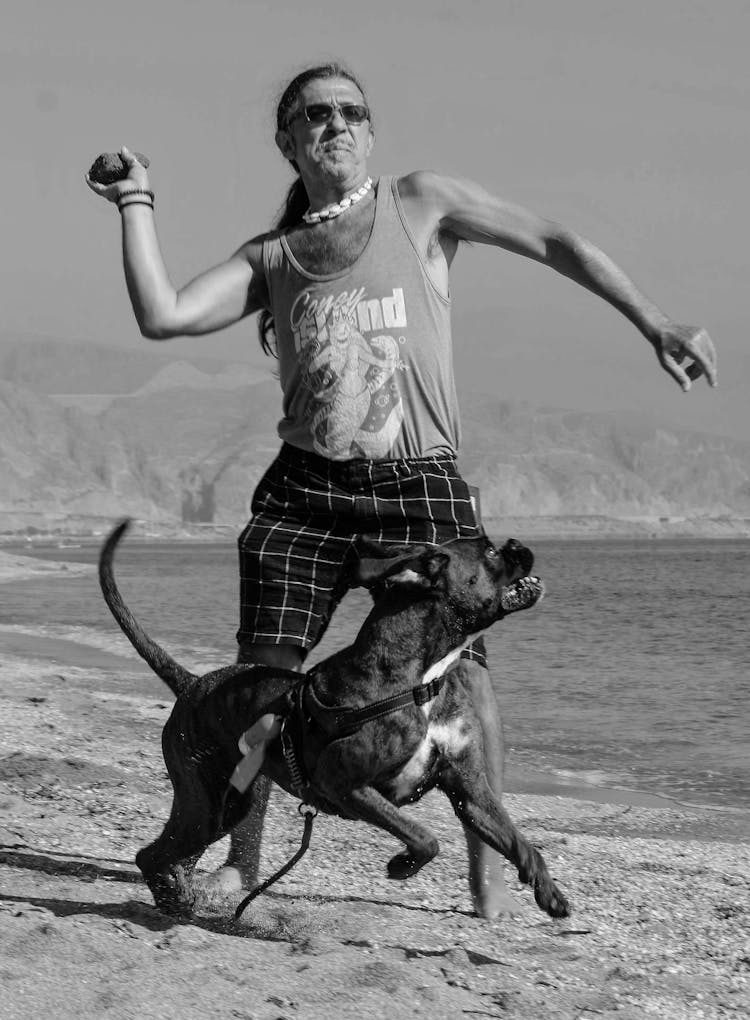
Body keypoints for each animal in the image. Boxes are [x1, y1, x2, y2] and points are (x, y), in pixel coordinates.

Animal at [100, 514, 567, 922]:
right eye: (489, 550)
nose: (519, 544)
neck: (422, 679)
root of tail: (193, 683)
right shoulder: (346, 784)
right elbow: (425, 838)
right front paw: (401, 865)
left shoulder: (471, 793)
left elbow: (520, 842)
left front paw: (550, 893)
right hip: (207, 801)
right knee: (152, 855)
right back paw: (175, 902)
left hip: (222, 807)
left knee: (168, 855)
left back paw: (177, 898)